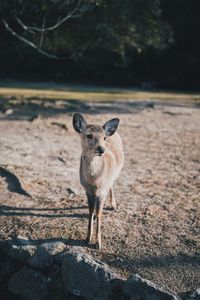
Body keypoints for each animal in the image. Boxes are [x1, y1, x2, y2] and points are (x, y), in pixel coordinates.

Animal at [72, 112, 123, 248]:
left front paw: (98, 243)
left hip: (113, 175)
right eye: (89, 135)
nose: (101, 149)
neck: (94, 180)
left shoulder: (102, 190)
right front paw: (87, 239)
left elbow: (100, 213)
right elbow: (90, 211)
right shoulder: (87, 189)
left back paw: (113, 205)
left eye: (104, 138)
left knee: (112, 184)